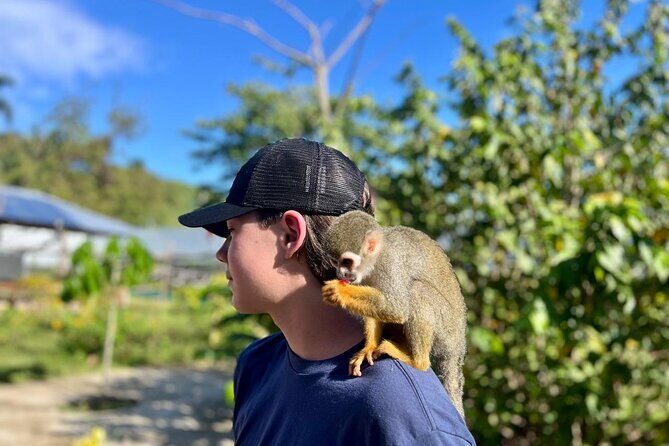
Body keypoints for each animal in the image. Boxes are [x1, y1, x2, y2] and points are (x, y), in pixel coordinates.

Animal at [321, 210, 468, 419]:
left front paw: (341, 292)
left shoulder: (391, 264)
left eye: (346, 262)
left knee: (417, 290)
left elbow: (397, 307)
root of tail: (458, 348)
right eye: (335, 262)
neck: (376, 260)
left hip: (446, 329)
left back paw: (418, 361)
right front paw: (368, 347)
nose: (340, 274)